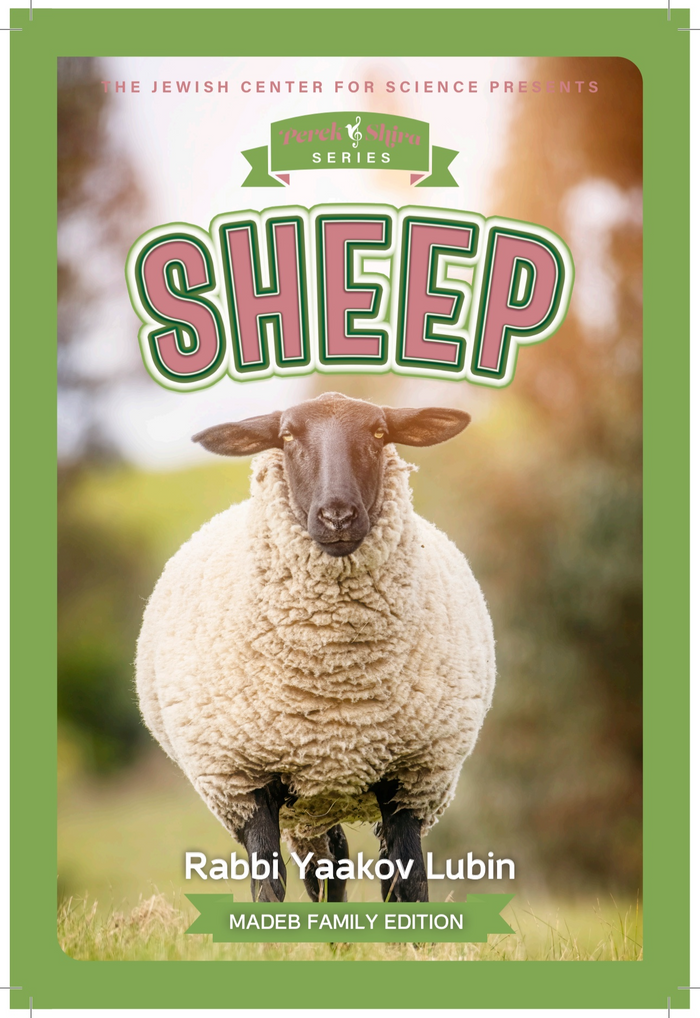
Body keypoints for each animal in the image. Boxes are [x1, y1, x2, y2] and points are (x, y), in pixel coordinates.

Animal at [135, 392, 496, 903]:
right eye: (286, 435)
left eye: (379, 433)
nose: (337, 516)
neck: (336, 678)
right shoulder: (245, 783)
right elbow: (268, 887)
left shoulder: (412, 778)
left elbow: (409, 883)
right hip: (306, 800)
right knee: (326, 868)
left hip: (326, 797)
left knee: (344, 867)